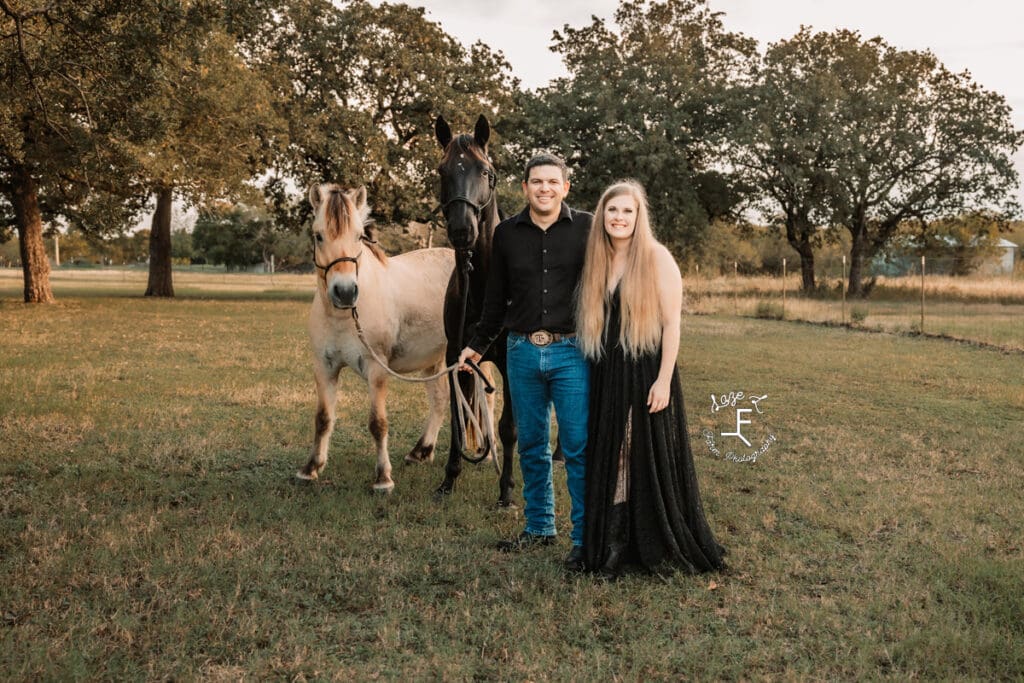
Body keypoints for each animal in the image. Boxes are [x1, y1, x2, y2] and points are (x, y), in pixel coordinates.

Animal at [299, 181, 454, 491]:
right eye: (318, 236)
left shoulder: (376, 369)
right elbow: (323, 418)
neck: (344, 317)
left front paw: (383, 478)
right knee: (440, 399)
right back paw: (421, 451)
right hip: (434, 359)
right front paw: (311, 468)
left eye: (359, 236)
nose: (345, 292)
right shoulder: (324, 367)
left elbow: (377, 423)